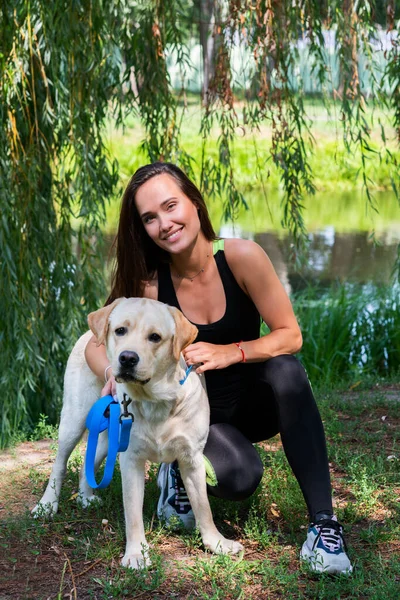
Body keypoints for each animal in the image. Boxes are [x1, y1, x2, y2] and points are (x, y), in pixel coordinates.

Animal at [32, 298, 242, 568]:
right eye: (120, 330)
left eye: (155, 337)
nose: (127, 358)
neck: (156, 401)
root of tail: (88, 333)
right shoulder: (131, 460)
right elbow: (132, 513)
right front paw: (135, 553)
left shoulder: (192, 459)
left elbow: (203, 507)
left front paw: (216, 543)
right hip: (73, 420)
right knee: (60, 464)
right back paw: (47, 504)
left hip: (109, 437)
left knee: (86, 465)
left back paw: (85, 497)